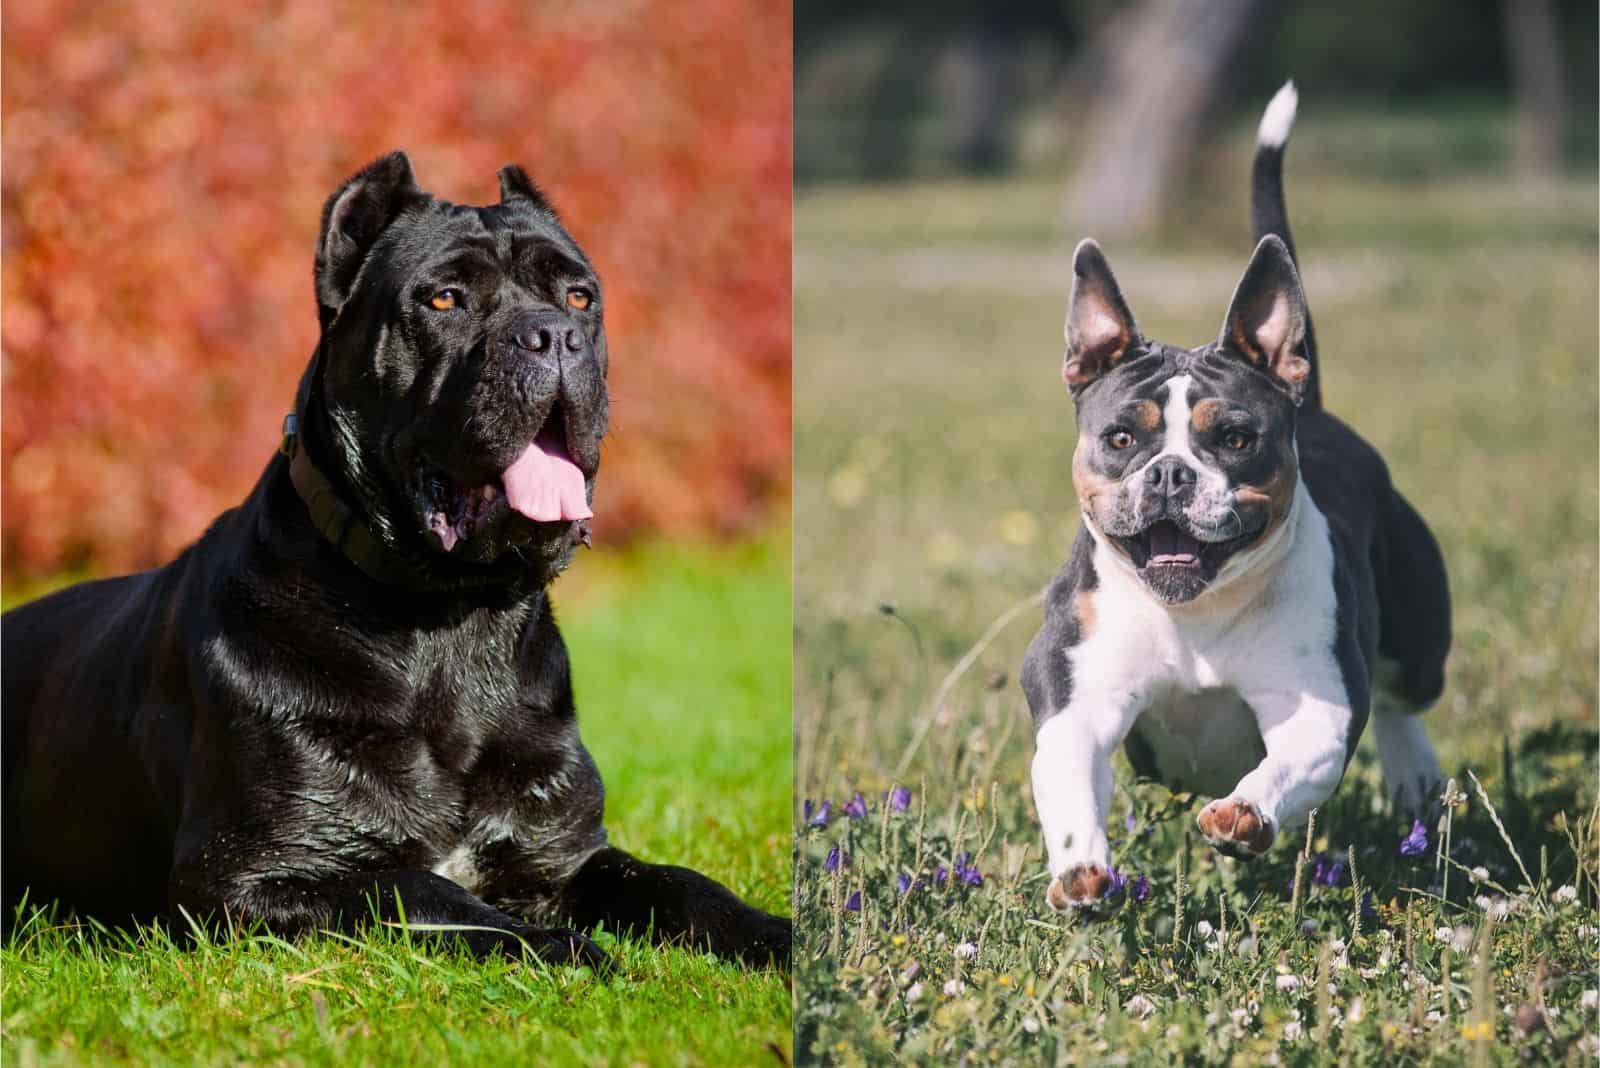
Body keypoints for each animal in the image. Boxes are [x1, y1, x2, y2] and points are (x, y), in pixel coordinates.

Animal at [3, 156, 790, 965]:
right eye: (443, 299)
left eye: (579, 296)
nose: (554, 336)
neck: (451, 620)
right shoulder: (251, 875)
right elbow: (426, 892)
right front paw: (562, 946)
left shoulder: (563, 852)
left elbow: (675, 882)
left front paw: (774, 934)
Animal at [1024, 85, 1452, 908]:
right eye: (1121, 438)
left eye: (1235, 438)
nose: (1171, 474)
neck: (1195, 612)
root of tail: (1314, 405)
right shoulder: (1078, 701)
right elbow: (1069, 778)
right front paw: (1080, 871)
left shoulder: (1315, 705)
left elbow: (1288, 762)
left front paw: (1244, 813)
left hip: (1420, 637)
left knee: (1401, 697)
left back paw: (1414, 774)